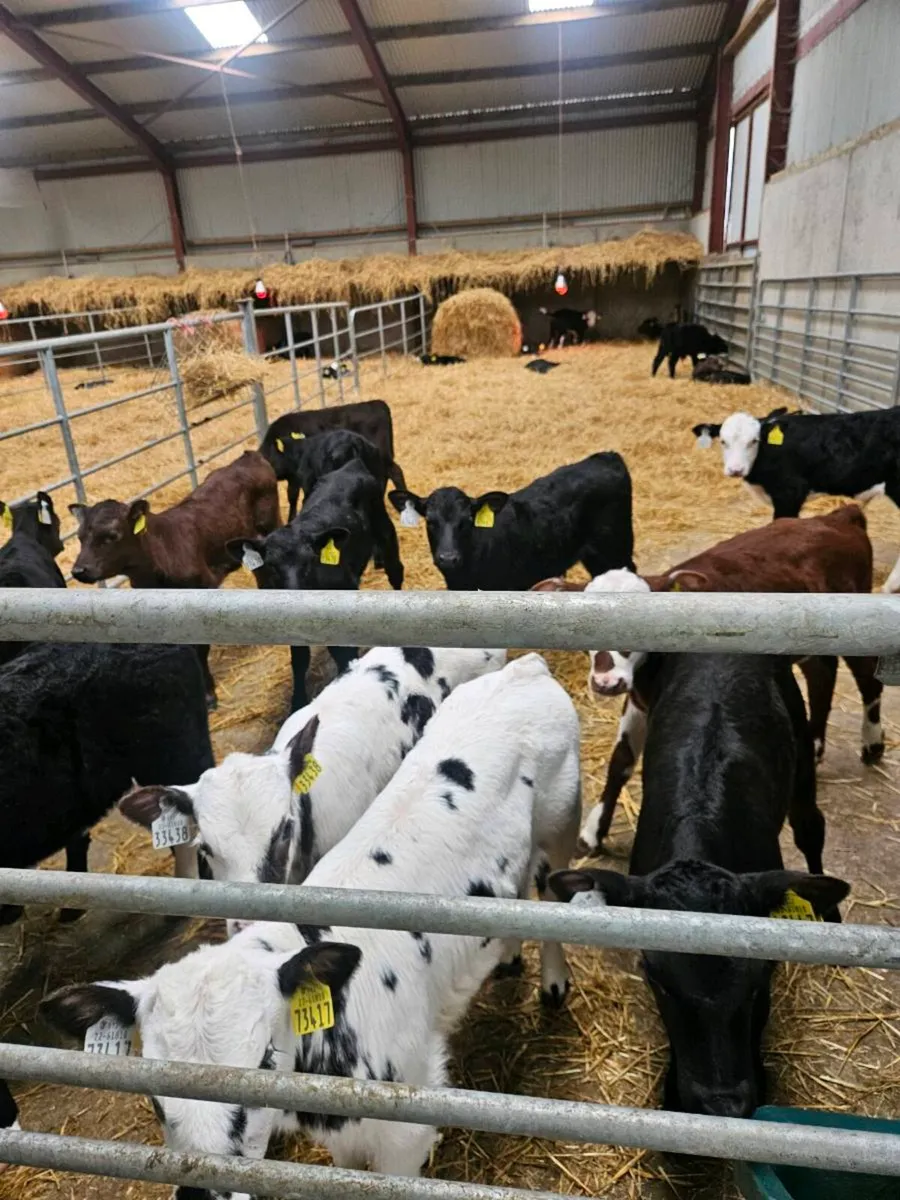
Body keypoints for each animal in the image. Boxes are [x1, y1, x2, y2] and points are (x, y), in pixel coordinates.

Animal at [69, 450, 279, 707]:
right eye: (80, 537)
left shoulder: (202, 590)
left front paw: (208, 695)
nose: (79, 570)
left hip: (271, 523)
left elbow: (200, 648)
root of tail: (248, 456)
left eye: (112, 535)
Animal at [232, 459, 404, 711]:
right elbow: (299, 659)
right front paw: (297, 702)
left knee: (396, 573)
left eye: (310, 560)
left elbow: (343, 652)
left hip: (386, 533)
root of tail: (351, 465)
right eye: (271, 566)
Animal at [536, 505, 884, 853]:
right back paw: (816, 743)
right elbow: (621, 760)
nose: (607, 682)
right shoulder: (639, 698)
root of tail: (836, 517)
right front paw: (594, 829)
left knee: (869, 679)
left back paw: (872, 743)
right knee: (822, 674)